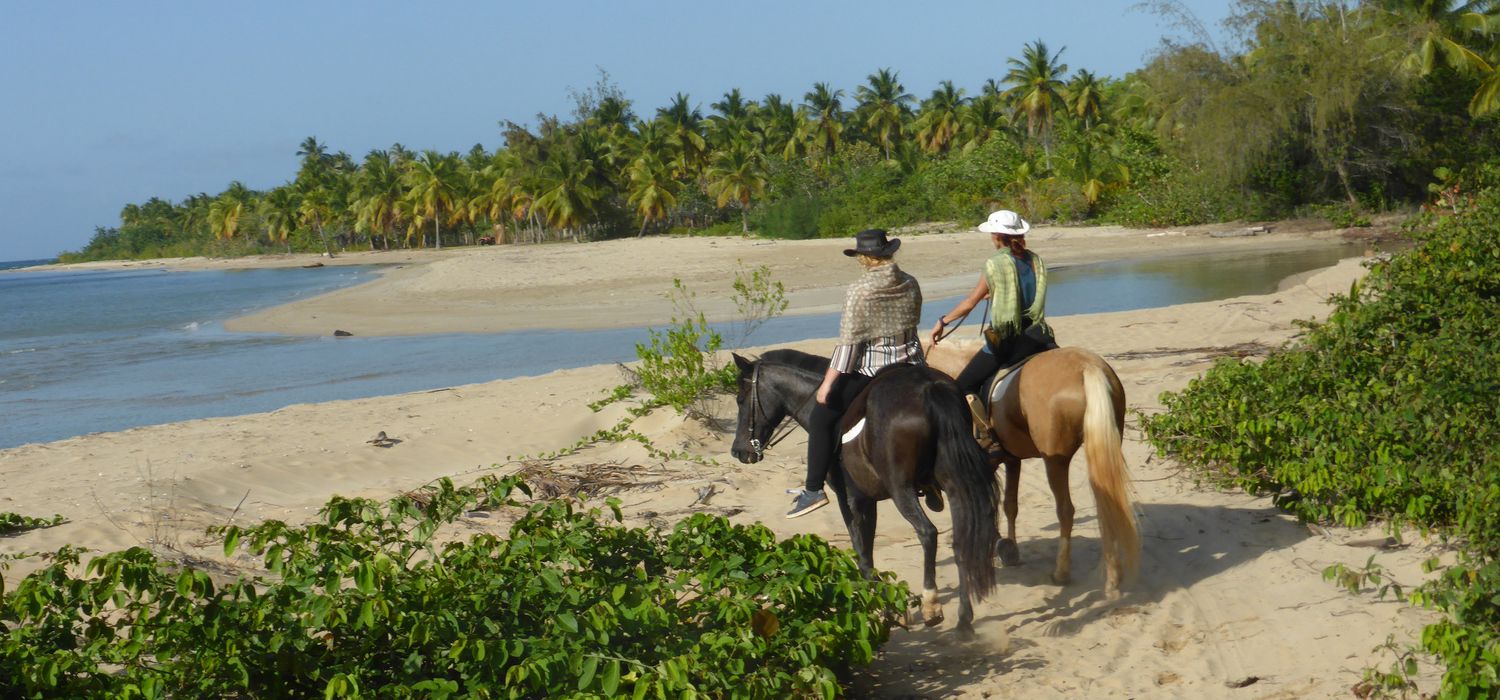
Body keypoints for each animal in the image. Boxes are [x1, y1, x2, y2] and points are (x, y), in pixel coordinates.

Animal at [732, 350, 1002, 635]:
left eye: (740, 399)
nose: (738, 451)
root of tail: (931, 388)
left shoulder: (852, 498)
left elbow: (863, 556)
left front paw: (887, 612)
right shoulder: (867, 500)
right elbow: (866, 555)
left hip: (900, 488)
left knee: (927, 533)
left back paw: (931, 606)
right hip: (954, 482)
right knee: (963, 539)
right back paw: (964, 618)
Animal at [924, 340, 1134, 596]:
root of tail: (1087, 367)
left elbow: (990, 506)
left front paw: (1000, 546)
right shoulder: (1012, 459)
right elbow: (1010, 505)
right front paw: (1009, 548)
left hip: (1055, 461)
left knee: (1066, 510)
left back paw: (1061, 572)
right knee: (1108, 505)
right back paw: (1113, 577)